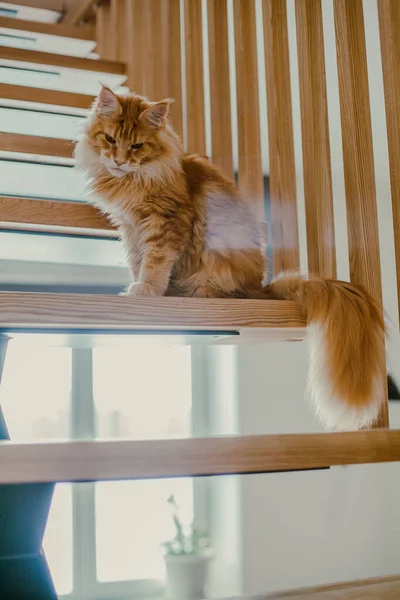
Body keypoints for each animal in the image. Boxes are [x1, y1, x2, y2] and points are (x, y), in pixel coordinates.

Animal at [74, 85, 384, 432]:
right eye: (110, 139)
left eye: (137, 146)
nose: (118, 160)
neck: (134, 181)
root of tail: (262, 288)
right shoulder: (130, 229)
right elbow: (136, 261)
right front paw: (137, 286)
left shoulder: (165, 222)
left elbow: (154, 262)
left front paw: (147, 290)